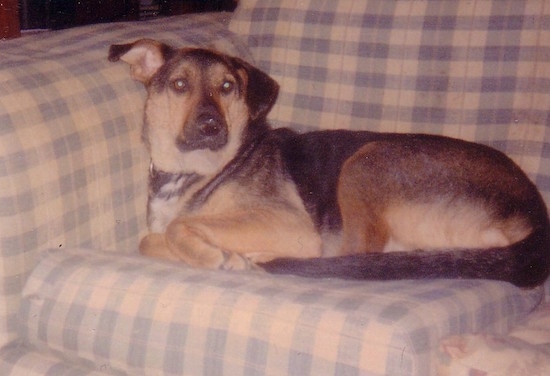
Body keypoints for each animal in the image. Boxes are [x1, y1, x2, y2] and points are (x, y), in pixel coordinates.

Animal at [108, 39, 550, 288]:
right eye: (179, 84)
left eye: (227, 87)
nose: (211, 125)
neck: (198, 170)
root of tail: (536, 214)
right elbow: (150, 239)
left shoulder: (290, 224)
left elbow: (177, 229)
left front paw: (215, 256)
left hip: (366, 161)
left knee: (352, 256)